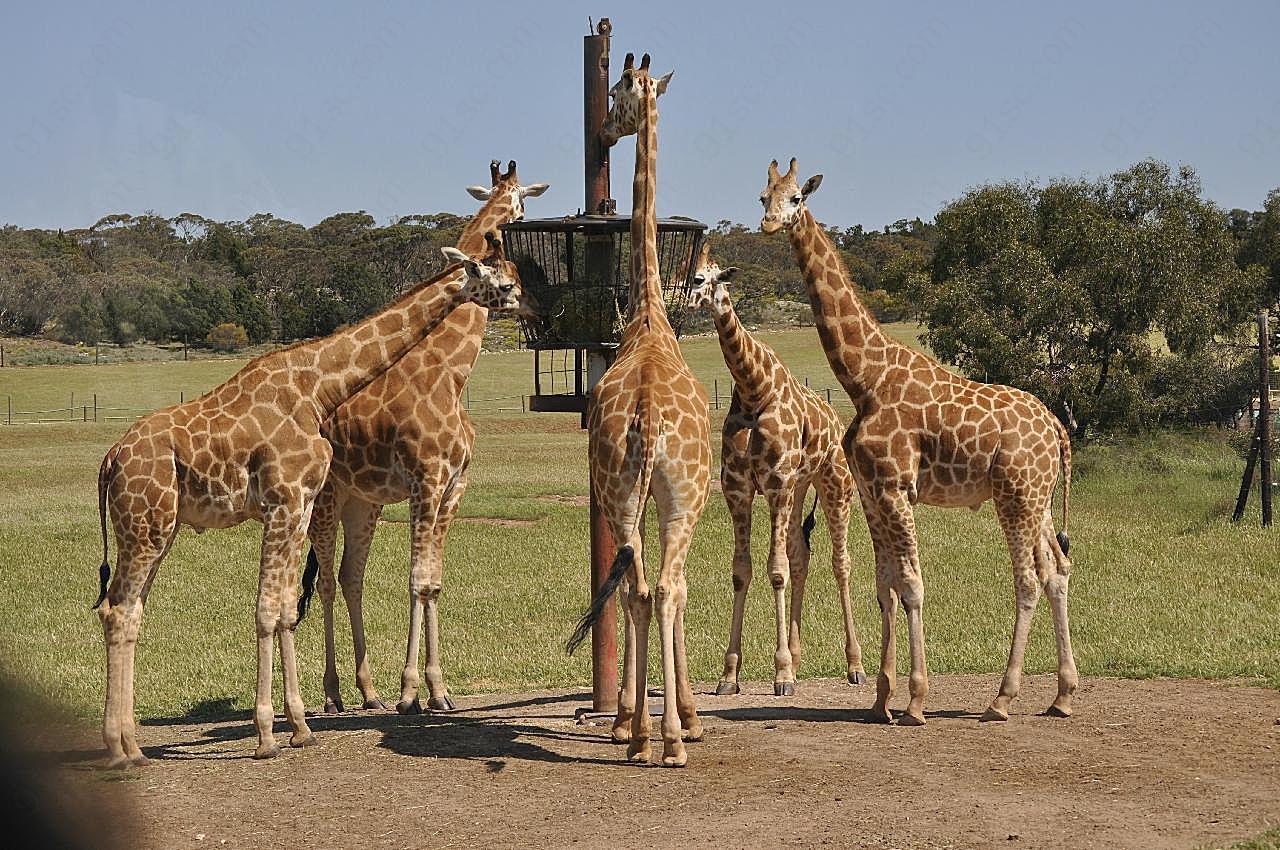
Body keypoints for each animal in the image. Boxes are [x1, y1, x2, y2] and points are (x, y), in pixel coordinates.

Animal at [93, 240, 524, 768]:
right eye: (501, 279)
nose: (523, 300)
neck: (318, 388)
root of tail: (110, 460)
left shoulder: (298, 505)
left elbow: (283, 609)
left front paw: (299, 727)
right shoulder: (285, 500)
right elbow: (266, 610)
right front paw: (266, 735)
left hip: (160, 527)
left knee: (128, 610)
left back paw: (133, 745)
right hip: (145, 526)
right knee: (117, 611)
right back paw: (119, 749)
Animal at [299, 156, 550, 711]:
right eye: (521, 208)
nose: (538, 306)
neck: (450, 371)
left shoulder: (454, 486)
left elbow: (434, 582)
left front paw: (439, 689)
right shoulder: (425, 480)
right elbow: (415, 581)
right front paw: (411, 691)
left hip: (363, 500)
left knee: (351, 575)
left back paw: (368, 690)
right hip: (326, 497)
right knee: (325, 579)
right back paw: (333, 694)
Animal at [691, 245, 870, 696]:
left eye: (701, 278)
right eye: (687, 275)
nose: (685, 299)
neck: (754, 388)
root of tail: (836, 421)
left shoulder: (774, 484)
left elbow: (776, 572)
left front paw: (782, 674)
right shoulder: (739, 488)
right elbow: (742, 571)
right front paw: (729, 676)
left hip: (834, 485)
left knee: (840, 561)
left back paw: (855, 666)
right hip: (799, 489)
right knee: (802, 554)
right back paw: (802, 657)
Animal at [757, 157, 1080, 721]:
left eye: (797, 197)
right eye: (762, 196)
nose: (770, 223)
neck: (864, 378)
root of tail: (1057, 428)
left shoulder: (895, 488)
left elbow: (910, 585)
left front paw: (914, 699)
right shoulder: (872, 492)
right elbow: (885, 584)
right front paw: (880, 697)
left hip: (1016, 495)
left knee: (1027, 579)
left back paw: (1002, 698)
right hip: (1036, 498)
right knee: (1057, 571)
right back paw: (1061, 695)